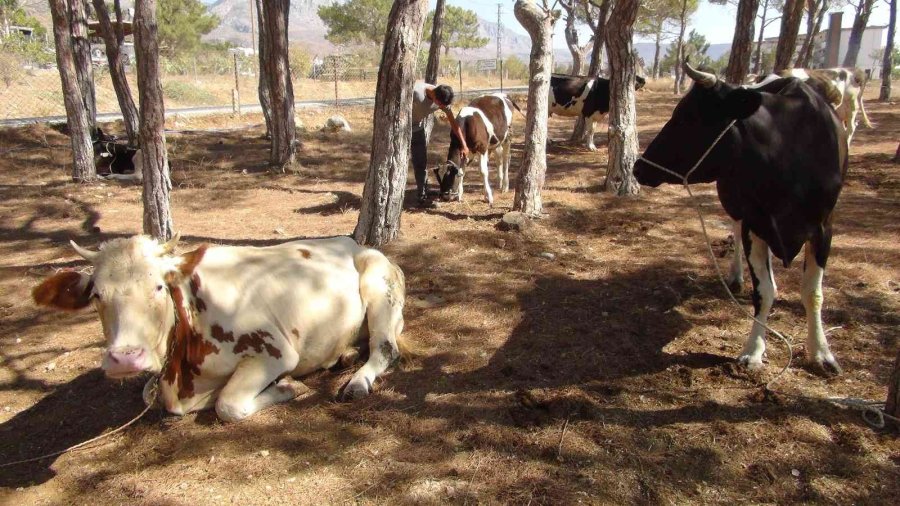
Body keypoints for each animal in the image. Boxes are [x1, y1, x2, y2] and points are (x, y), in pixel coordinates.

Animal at [33, 235, 408, 422]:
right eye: (96, 294)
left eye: (159, 286)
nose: (125, 357)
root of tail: (352, 243)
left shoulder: (273, 352)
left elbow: (228, 405)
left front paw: (287, 387)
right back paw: (344, 355)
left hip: (378, 283)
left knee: (385, 348)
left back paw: (357, 381)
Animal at [628, 62, 848, 376]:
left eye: (687, 116)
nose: (638, 167)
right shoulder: (754, 222)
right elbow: (764, 291)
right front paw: (753, 351)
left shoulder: (823, 228)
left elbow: (813, 294)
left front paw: (821, 352)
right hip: (733, 202)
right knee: (734, 229)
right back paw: (735, 277)